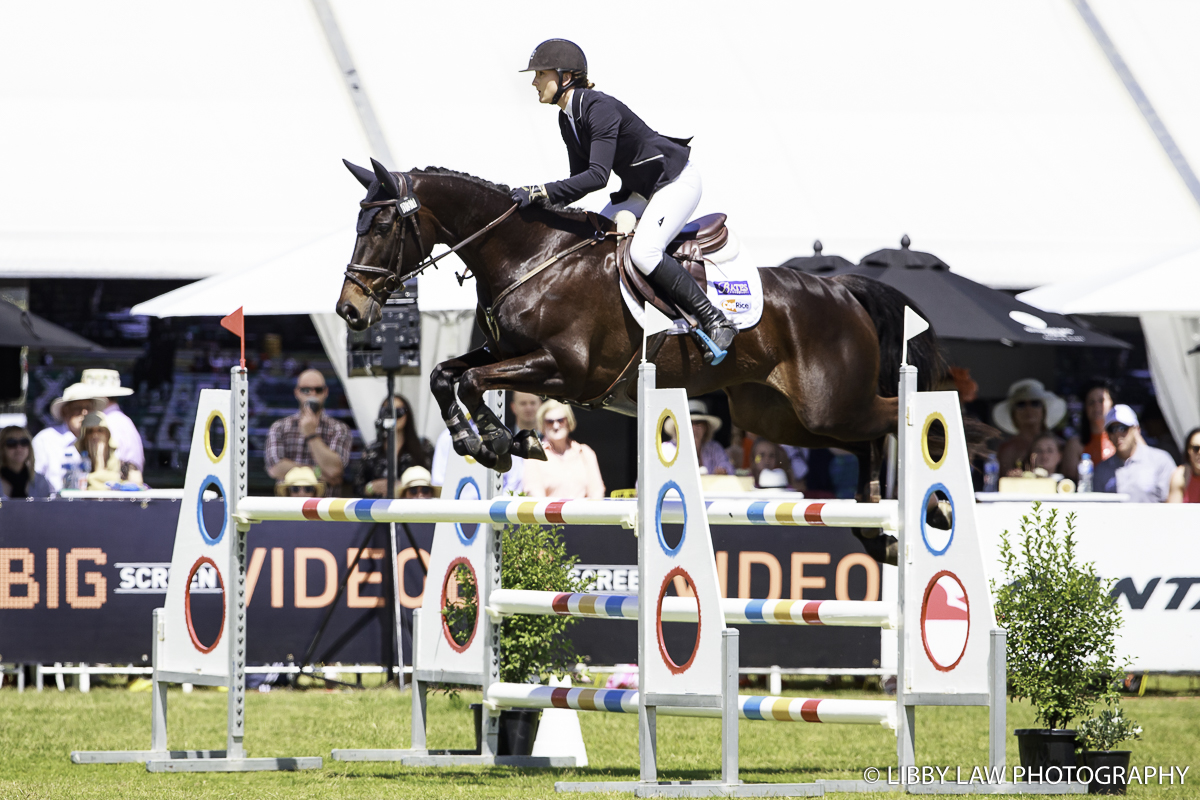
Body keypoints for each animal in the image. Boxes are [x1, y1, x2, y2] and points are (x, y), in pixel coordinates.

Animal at [338, 160, 945, 563]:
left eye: (384, 226)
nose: (350, 310)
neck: (530, 257)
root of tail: (843, 288)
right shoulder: (508, 351)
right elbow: (447, 375)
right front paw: (491, 441)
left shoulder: (564, 368)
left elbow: (470, 380)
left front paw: (497, 441)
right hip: (778, 417)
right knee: (864, 440)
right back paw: (875, 526)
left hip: (830, 402)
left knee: (897, 418)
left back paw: (928, 510)